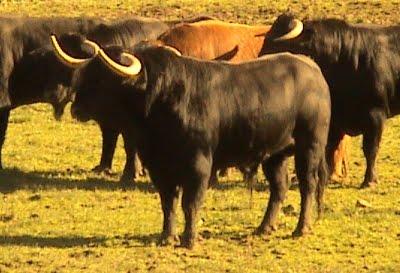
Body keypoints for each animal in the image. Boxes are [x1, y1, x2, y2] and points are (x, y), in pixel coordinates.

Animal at [67, 44, 332, 246]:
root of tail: (314, 71)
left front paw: (189, 239)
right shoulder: (159, 168)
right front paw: (167, 237)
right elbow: (168, 203)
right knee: (280, 187)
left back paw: (301, 228)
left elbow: (190, 203)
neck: (163, 100)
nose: (75, 108)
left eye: (103, 78)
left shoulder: (199, 166)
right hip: (274, 154)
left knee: (308, 184)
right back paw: (264, 227)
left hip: (310, 146)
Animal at [260, 14, 400, 187]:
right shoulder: (335, 120)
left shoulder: (375, 115)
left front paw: (369, 180)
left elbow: (370, 149)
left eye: (275, 45)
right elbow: (330, 148)